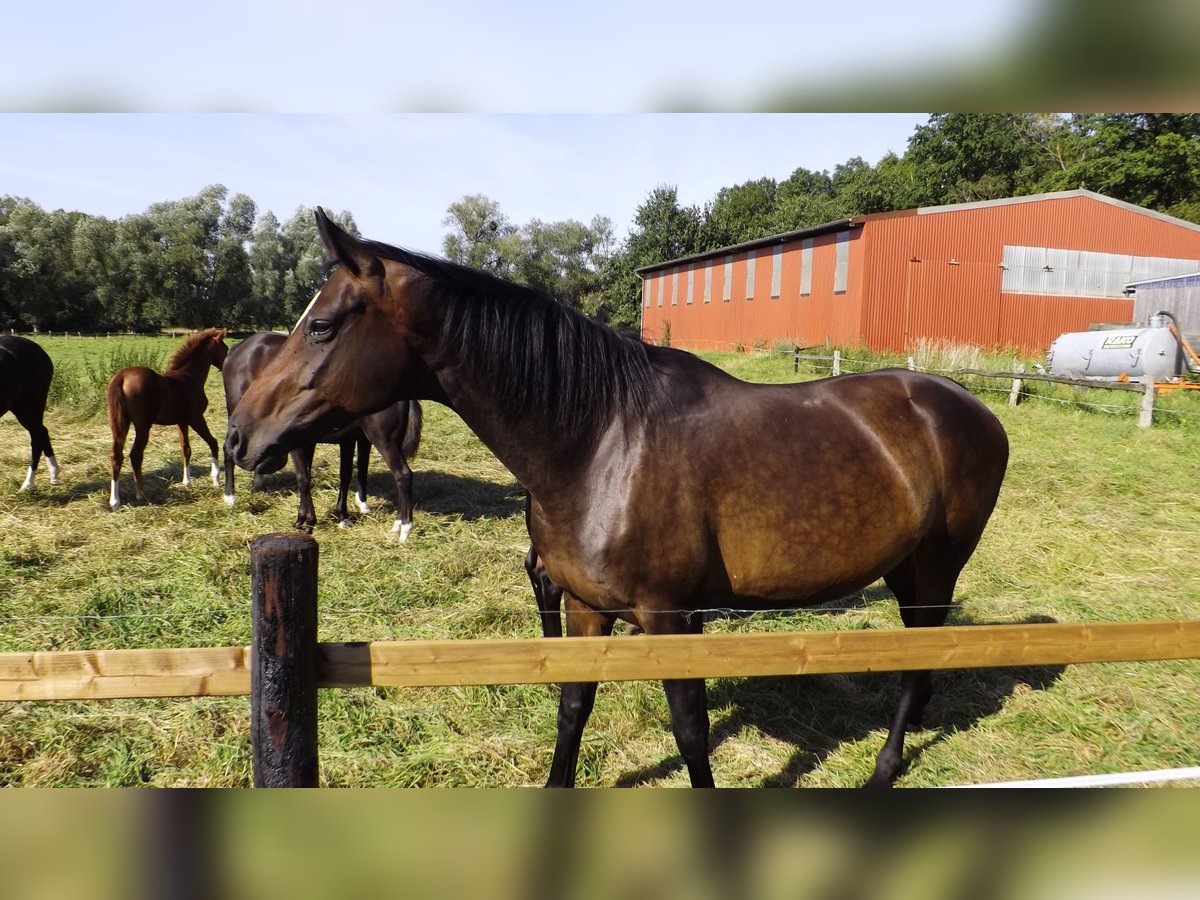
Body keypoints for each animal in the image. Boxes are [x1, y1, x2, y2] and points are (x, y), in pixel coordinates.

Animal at [0, 336, 60, 489]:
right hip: (19, 409)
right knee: (43, 432)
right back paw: (54, 474)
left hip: (32, 406)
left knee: (37, 438)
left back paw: (28, 484)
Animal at [106, 328, 228, 511]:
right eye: (225, 349)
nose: (226, 366)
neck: (190, 377)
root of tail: (121, 377)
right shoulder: (196, 418)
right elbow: (213, 442)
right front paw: (216, 480)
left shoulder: (182, 421)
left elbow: (185, 449)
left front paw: (187, 483)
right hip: (143, 425)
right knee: (136, 455)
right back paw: (141, 494)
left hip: (119, 423)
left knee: (116, 455)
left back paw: (115, 502)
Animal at [223, 333, 424, 540]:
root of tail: (240, 347)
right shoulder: (346, 439)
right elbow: (329, 475)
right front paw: (331, 517)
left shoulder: (347, 439)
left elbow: (313, 476)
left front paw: (310, 520)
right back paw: (232, 496)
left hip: (386, 442)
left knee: (402, 475)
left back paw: (403, 529)